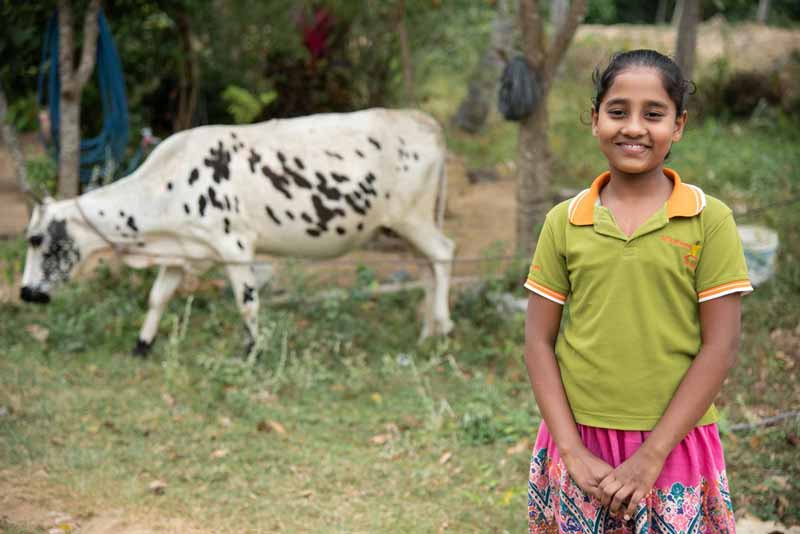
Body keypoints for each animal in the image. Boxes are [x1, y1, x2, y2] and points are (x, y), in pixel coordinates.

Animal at [20, 108, 456, 356]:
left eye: (36, 239)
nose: (25, 293)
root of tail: (426, 122)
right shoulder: (183, 251)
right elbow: (157, 298)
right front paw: (142, 345)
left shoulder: (235, 247)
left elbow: (248, 304)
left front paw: (251, 352)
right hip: (404, 227)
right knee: (426, 268)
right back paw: (426, 333)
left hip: (413, 218)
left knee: (443, 255)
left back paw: (444, 328)